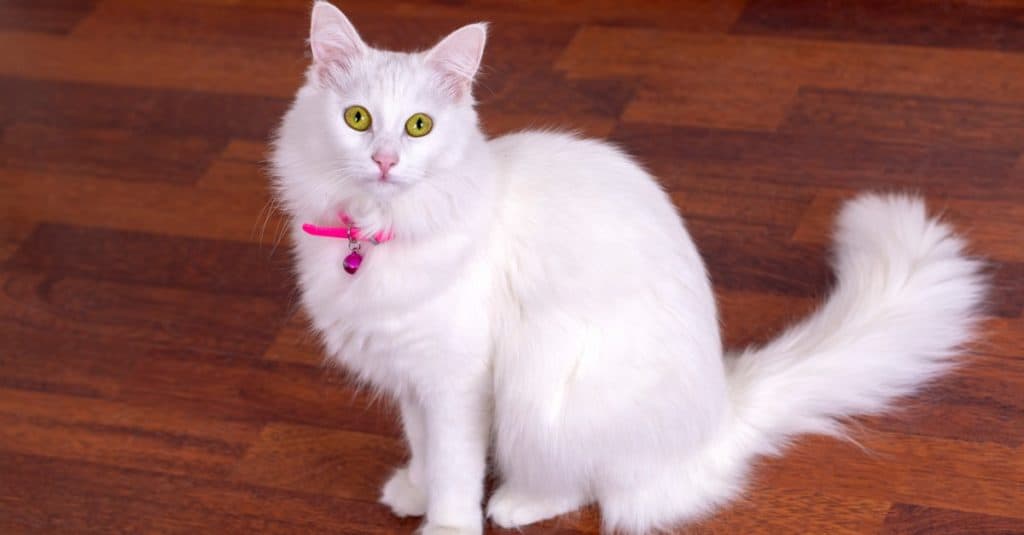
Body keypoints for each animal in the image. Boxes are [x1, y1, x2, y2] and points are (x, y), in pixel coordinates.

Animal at [270, 2, 983, 528]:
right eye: (357, 119)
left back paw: (515, 504)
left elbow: (454, 466)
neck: (373, 230)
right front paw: (413, 490)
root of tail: (721, 412)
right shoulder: (409, 376)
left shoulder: (455, 381)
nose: (386, 160)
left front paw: (447, 522)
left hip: (546, 385)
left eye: (419, 126)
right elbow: (423, 447)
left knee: (600, 489)